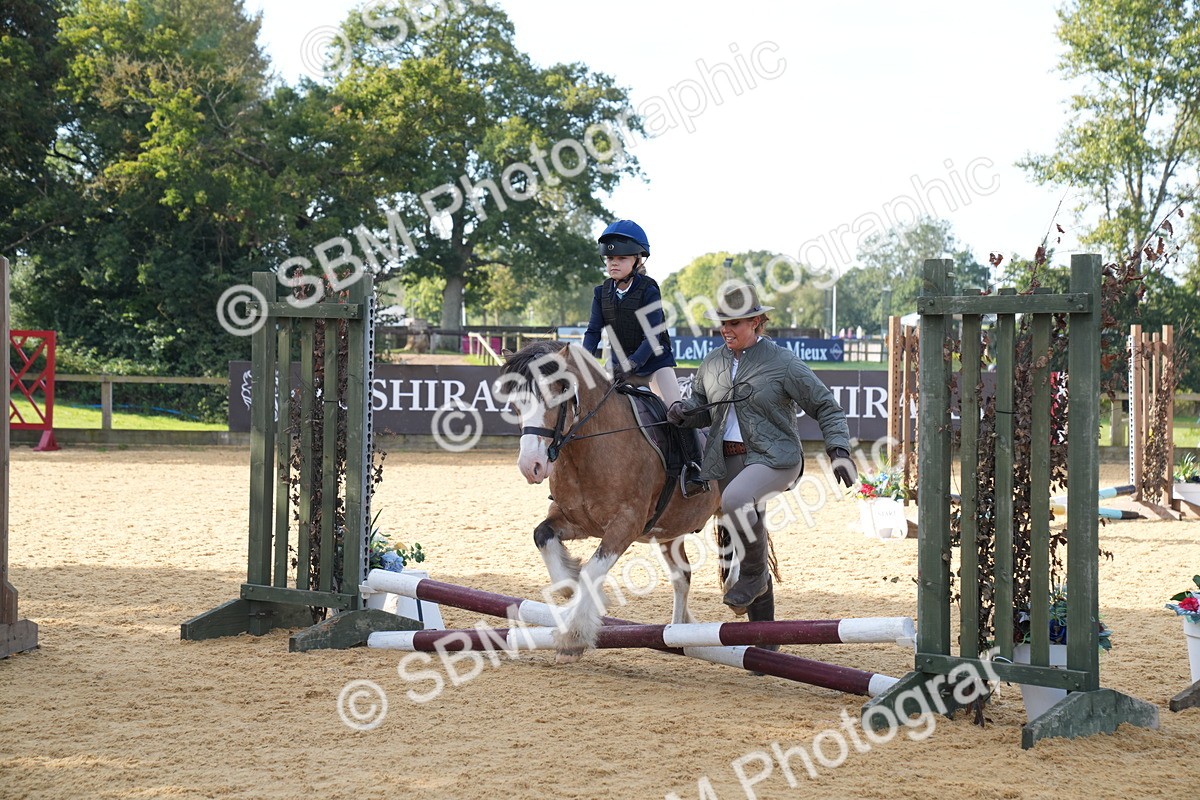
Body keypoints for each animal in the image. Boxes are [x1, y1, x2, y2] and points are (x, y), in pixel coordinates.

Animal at [497, 340, 721, 662]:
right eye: (515, 403)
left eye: (556, 395)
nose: (531, 467)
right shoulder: (575, 519)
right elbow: (543, 536)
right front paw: (570, 589)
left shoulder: (626, 523)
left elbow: (592, 571)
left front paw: (572, 636)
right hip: (671, 530)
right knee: (682, 576)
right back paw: (681, 629)